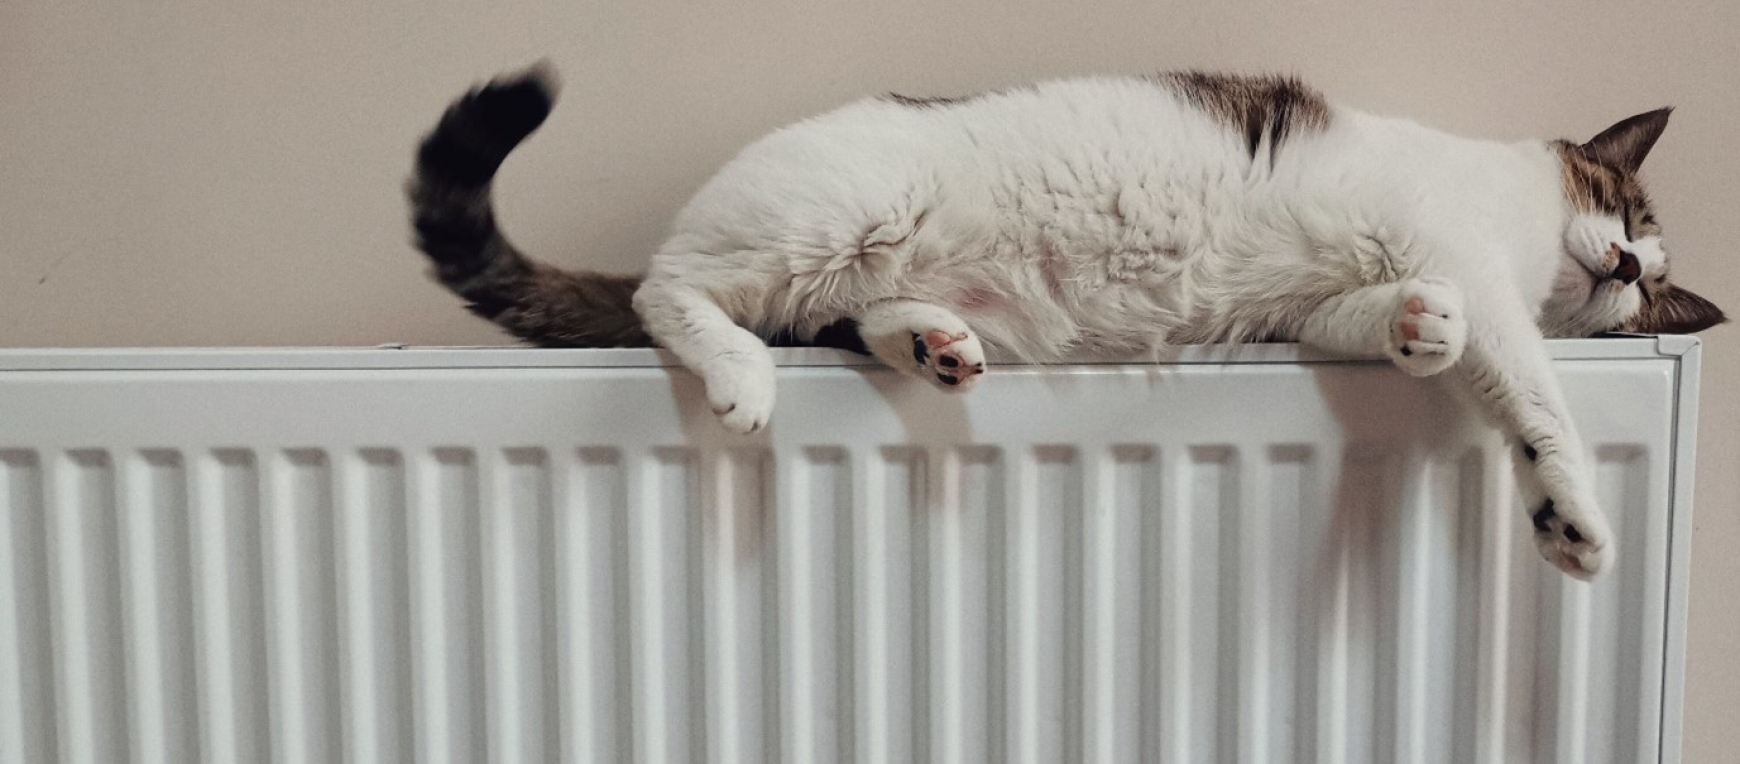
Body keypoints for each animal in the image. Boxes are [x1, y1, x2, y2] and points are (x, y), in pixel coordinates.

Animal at [407, 64, 1726, 581]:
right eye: (1625, 213)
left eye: (1647, 289)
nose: (1623, 261)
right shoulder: (1479, 267)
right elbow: (1534, 395)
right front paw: (1570, 513)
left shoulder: (1324, 302)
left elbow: (1403, 318)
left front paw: (1418, 330)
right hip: (833, 215)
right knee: (666, 290)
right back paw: (738, 372)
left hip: (850, 273)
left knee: (851, 317)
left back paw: (933, 342)